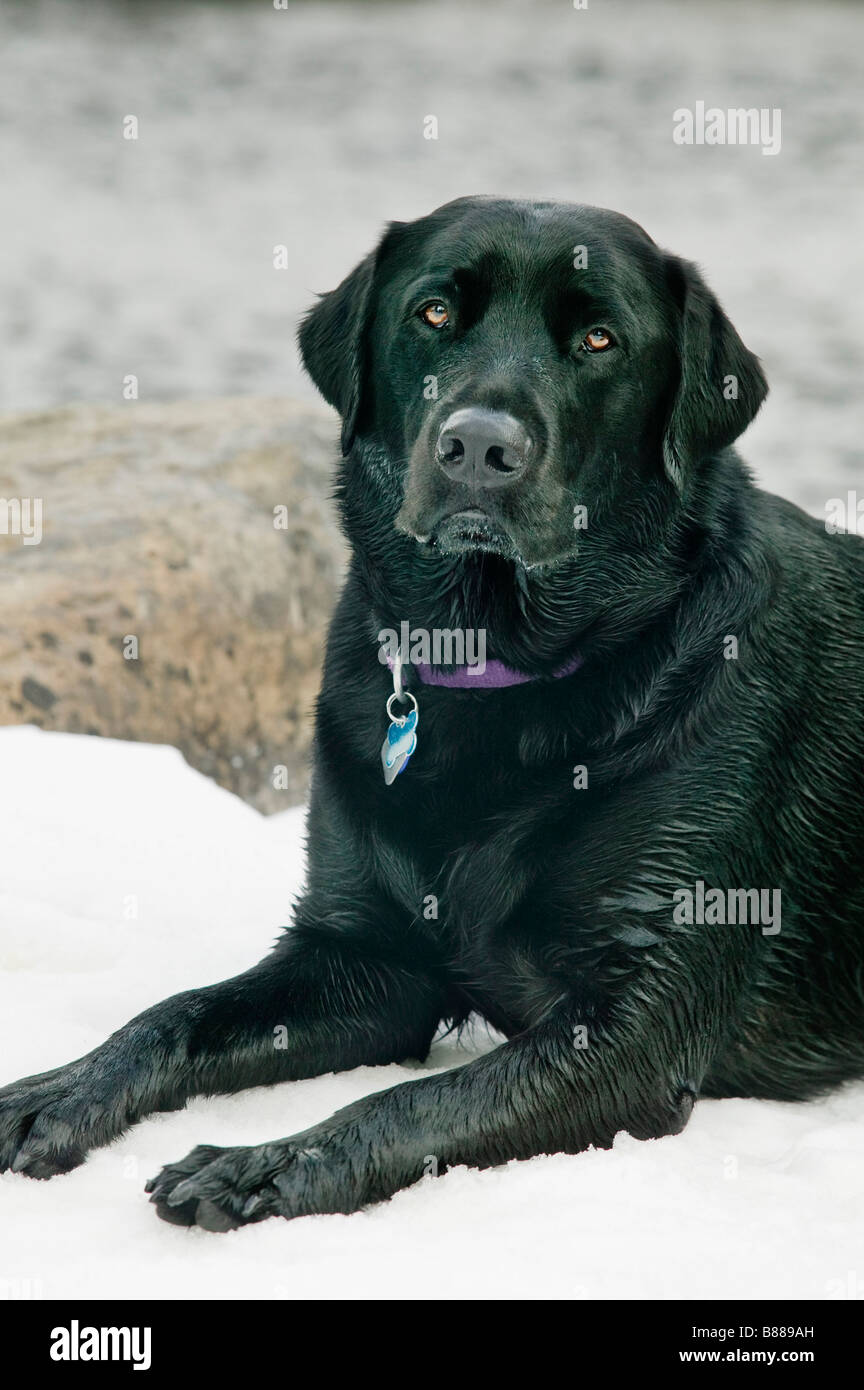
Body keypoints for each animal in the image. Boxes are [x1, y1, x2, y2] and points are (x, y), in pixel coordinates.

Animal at [1, 198, 864, 1228]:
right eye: (436, 312)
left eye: (600, 339)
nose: (480, 447)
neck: (494, 663)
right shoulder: (360, 953)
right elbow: (175, 1014)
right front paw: (57, 1090)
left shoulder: (634, 1022)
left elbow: (414, 1102)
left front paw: (262, 1166)